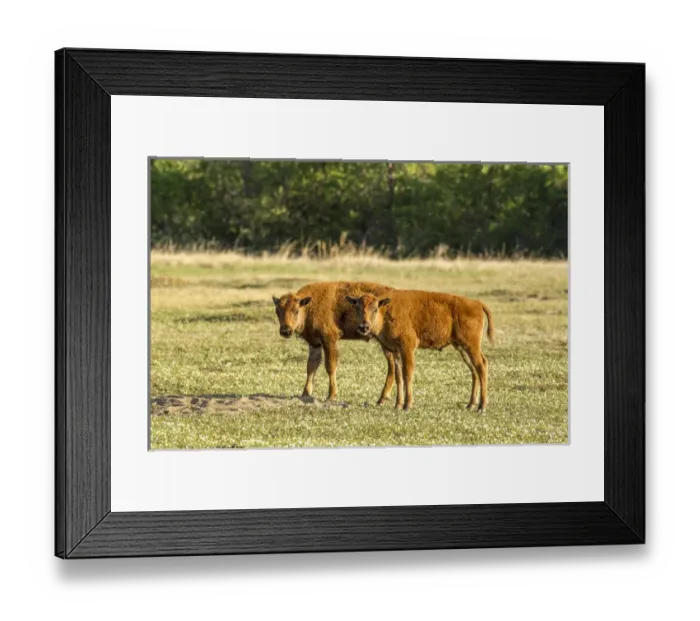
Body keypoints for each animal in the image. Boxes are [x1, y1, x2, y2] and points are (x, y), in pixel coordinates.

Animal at [345, 290, 494, 411]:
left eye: (375, 308)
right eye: (357, 308)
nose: (363, 327)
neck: (386, 310)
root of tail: (477, 304)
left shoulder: (407, 347)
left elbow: (407, 373)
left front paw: (407, 405)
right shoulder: (395, 351)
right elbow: (398, 376)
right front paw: (398, 405)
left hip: (471, 345)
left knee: (481, 366)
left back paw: (482, 406)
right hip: (461, 347)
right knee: (474, 370)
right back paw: (470, 405)